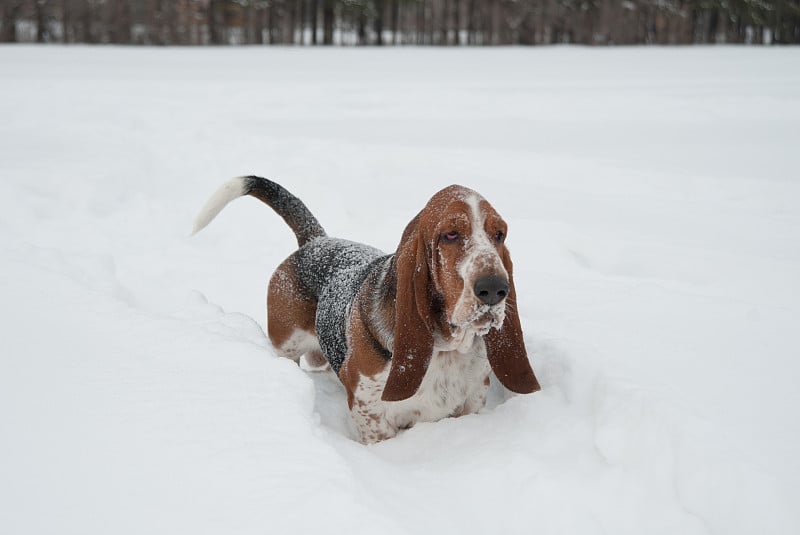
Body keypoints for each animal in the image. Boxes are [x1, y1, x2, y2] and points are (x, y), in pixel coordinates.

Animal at [195, 177, 540, 444]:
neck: (446, 349)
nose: (495, 288)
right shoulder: (370, 410)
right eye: (450, 235)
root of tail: (316, 241)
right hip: (286, 346)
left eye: (499, 234)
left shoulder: (474, 398)